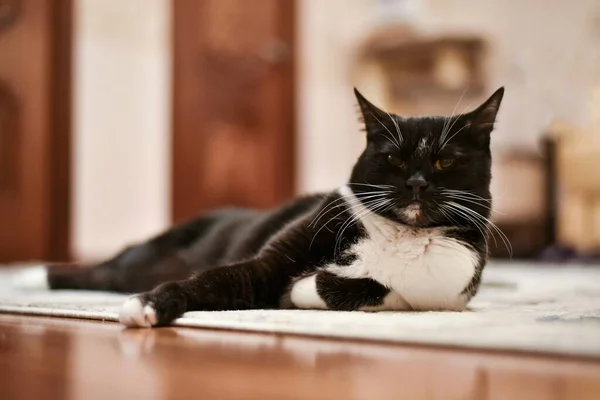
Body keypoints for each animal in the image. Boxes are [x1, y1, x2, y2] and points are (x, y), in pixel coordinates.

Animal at [19, 86, 502, 326]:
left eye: (444, 161)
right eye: (394, 159)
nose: (417, 183)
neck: (402, 234)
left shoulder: (448, 288)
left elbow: (375, 288)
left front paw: (304, 291)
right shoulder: (275, 256)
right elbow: (217, 279)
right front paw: (150, 307)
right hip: (148, 257)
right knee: (105, 269)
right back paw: (34, 276)